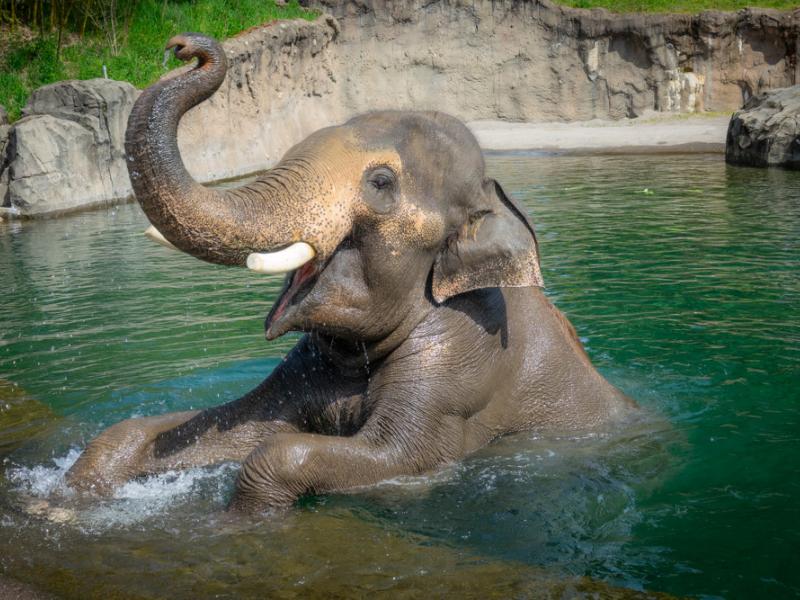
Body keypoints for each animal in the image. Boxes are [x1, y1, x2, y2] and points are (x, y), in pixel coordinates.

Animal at [64, 34, 636, 510]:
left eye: (381, 183)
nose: (185, 47)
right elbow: (234, 425)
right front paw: (69, 498)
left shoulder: (465, 365)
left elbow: (382, 454)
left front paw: (237, 522)